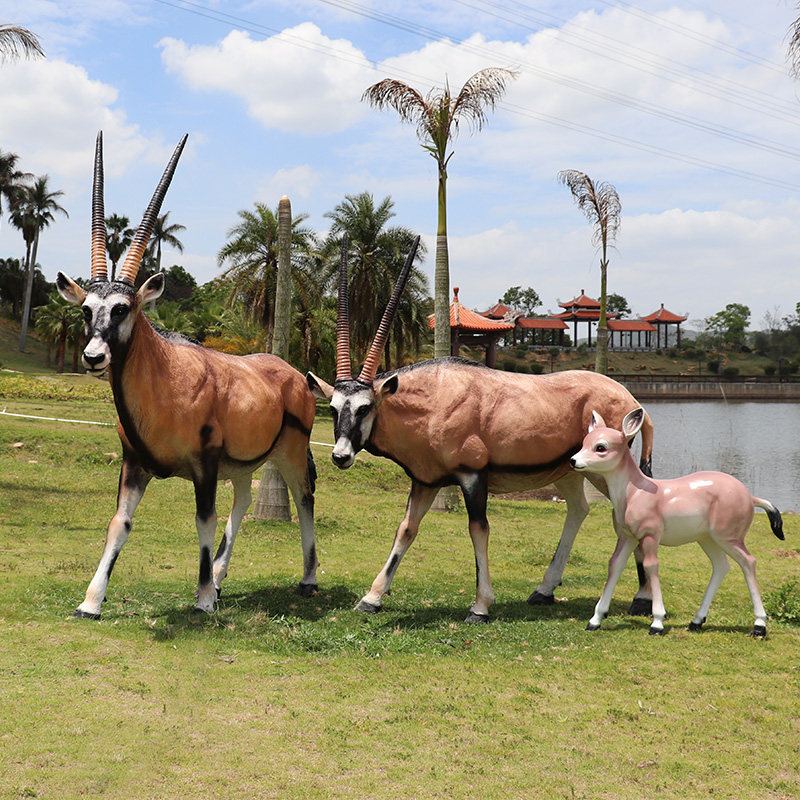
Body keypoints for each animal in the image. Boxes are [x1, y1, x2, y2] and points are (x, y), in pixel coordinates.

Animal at [56, 132, 318, 618]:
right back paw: (218, 577)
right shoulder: (135, 464)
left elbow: (203, 521)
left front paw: (201, 601)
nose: (93, 357)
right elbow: (119, 523)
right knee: (244, 499)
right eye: (86, 309)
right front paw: (91, 601)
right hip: (240, 464)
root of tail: (293, 375)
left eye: (123, 308)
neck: (166, 379)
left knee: (304, 496)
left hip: (290, 452)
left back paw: (306, 580)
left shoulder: (203, 465)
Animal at [306, 241, 656, 623]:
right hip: (571, 470)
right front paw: (371, 598)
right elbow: (406, 529)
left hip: (604, 470)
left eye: (365, 407)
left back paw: (641, 599)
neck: (432, 399)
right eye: (333, 407)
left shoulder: (473, 476)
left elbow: (479, 529)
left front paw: (481, 606)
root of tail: (631, 399)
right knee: (578, 509)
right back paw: (544, 590)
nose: (340, 456)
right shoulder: (425, 480)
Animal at [571, 407, 784, 636]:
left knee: (748, 562)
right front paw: (595, 620)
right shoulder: (627, 536)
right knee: (721, 566)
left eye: (601, 447)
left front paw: (657, 623)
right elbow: (615, 564)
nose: (573, 460)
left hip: (729, 536)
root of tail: (751, 498)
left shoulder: (650, 535)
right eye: (584, 442)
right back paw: (696, 622)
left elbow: (651, 565)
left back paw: (759, 626)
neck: (634, 493)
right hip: (707, 538)